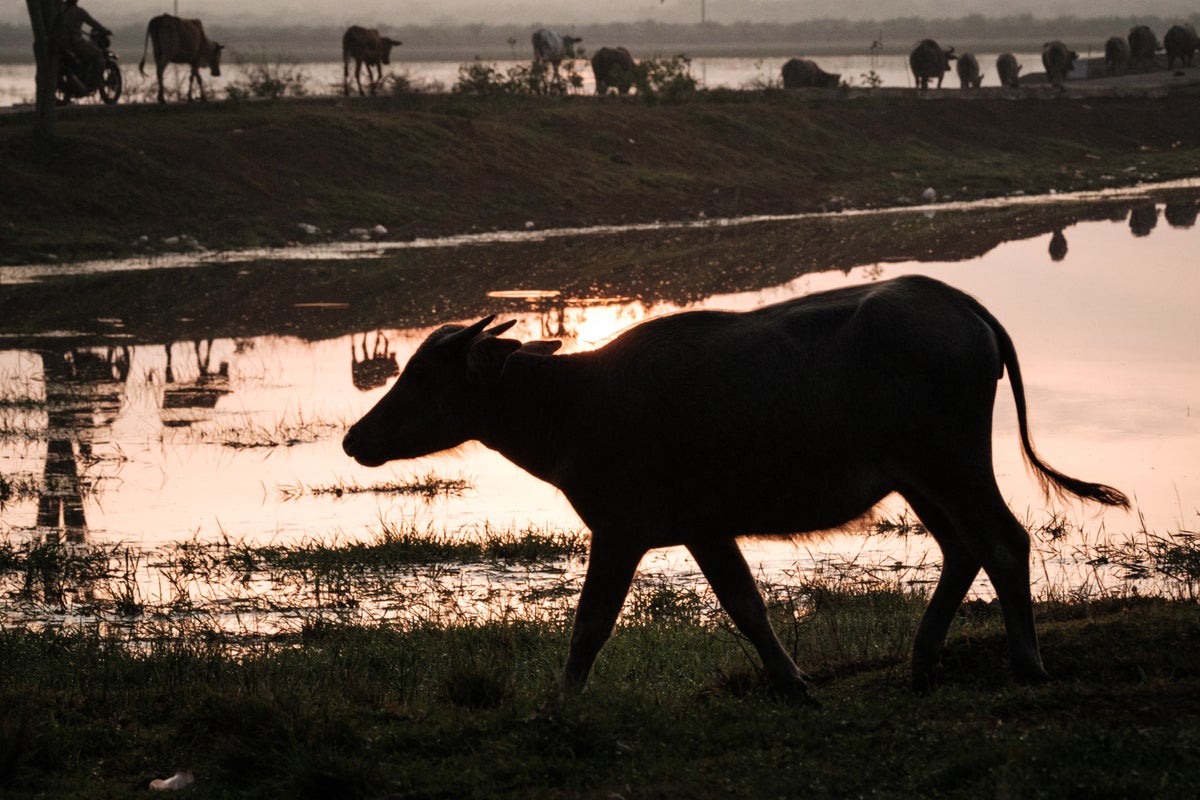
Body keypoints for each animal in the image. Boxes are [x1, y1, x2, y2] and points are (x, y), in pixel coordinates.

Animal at [343, 276, 1128, 698]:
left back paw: (1027, 664)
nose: (354, 439)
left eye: (422, 376)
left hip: (952, 463)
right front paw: (792, 683)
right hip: (919, 477)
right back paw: (922, 662)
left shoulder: (621, 530)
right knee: (964, 550)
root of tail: (954, 302)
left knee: (1004, 541)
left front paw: (560, 703)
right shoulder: (704, 528)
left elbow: (591, 622)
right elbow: (746, 605)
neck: (578, 404)